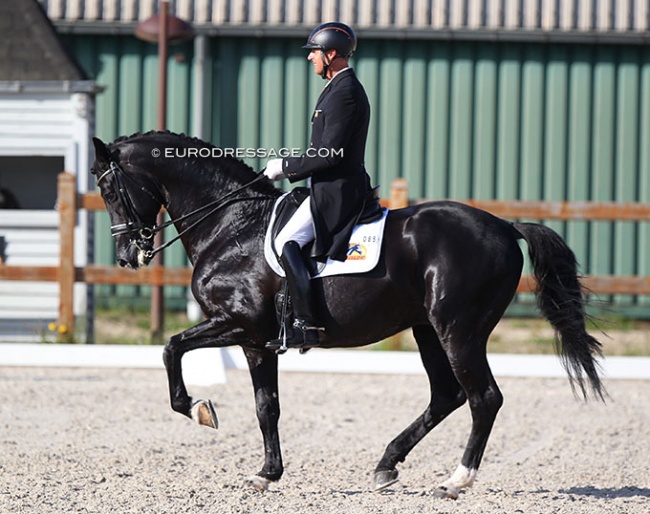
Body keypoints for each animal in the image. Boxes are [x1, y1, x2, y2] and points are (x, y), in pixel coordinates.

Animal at [91, 131, 604, 496]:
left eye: (109, 189)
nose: (126, 257)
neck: (231, 226)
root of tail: (503, 225)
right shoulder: (256, 341)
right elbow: (266, 406)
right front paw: (266, 474)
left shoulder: (238, 324)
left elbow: (170, 348)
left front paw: (199, 409)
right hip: (426, 329)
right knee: (447, 395)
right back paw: (386, 466)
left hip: (459, 329)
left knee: (484, 398)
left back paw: (455, 481)